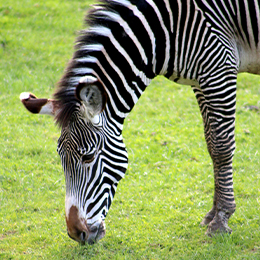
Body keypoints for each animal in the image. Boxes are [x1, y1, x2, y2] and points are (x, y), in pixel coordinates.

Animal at [20, 0, 260, 244]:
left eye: (88, 157)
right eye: (60, 157)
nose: (76, 234)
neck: (166, 29)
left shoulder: (219, 70)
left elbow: (221, 147)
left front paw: (221, 218)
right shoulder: (200, 80)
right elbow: (211, 143)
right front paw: (212, 213)